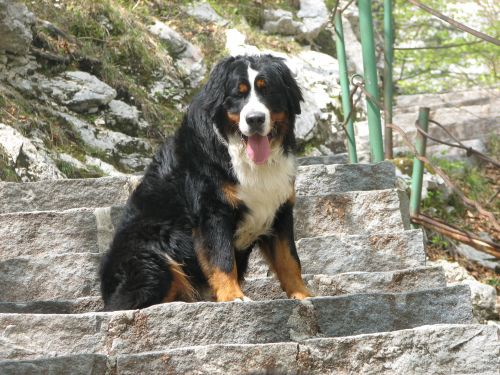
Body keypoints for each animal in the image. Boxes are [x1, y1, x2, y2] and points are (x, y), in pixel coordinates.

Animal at [100, 53, 312, 312]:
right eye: (238, 93)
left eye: (267, 89)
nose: (255, 119)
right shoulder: (212, 210)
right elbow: (222, 257)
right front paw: (233, 297)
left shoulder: (279, 209)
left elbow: (290, 259)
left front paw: (303, 294)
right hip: (150, 250)